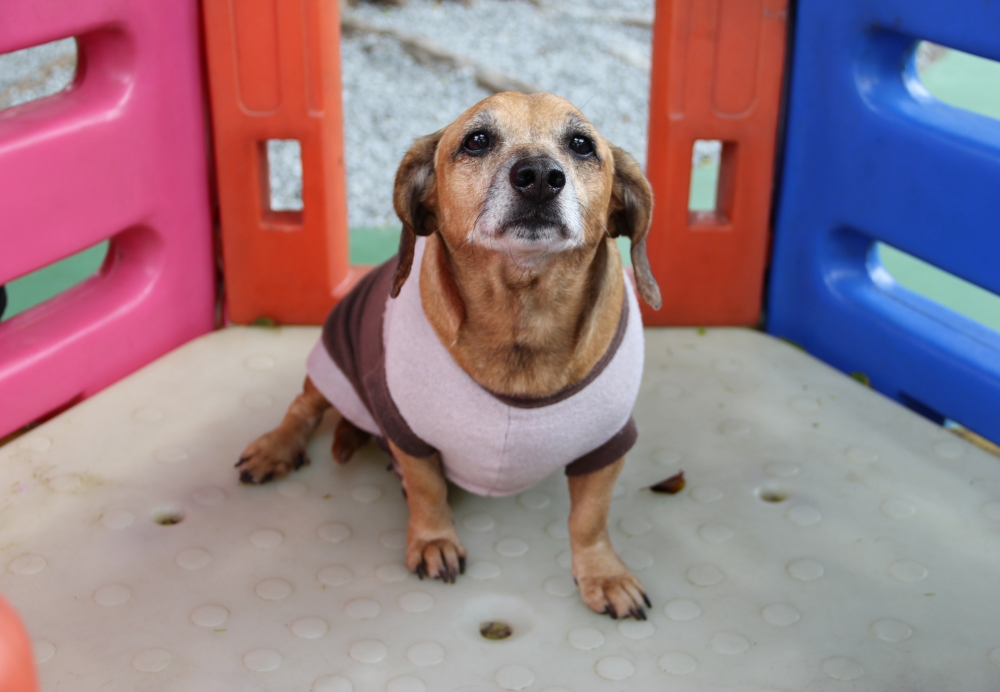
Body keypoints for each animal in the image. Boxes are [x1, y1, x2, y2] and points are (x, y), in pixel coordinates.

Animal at [237, 93, 660, 620]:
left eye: (582, 145)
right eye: (476, 140)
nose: (540, 175)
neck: (522, 321)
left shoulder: (606, 446)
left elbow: (589, 517)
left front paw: (603, 573)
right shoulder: (408, 432)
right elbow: (427, 489)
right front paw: (433, 540)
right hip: (331, 361)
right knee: (303, 408)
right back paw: (276, 447)